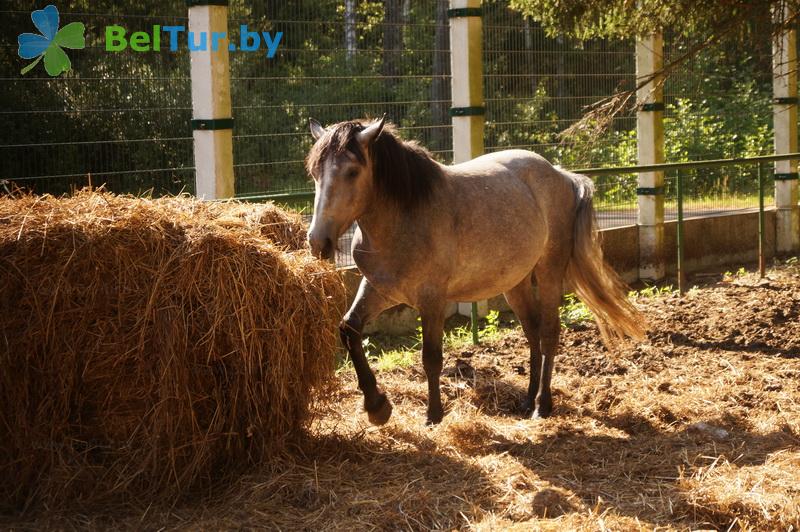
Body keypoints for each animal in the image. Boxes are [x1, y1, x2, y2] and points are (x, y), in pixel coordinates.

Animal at [304, 116, 644, 424]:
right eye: (315, 172)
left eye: (352, 171)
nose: (318, 241)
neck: (404, 218)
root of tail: (562, 175)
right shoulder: (378, 289)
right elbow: (349, 329)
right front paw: (377, 407)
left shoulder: (432, 300)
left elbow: (431, 357)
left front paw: (433, 416)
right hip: (515, 283)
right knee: (532, 332)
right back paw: (527, 399)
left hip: (549, 270)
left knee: (548, 333)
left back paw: (541, 405)